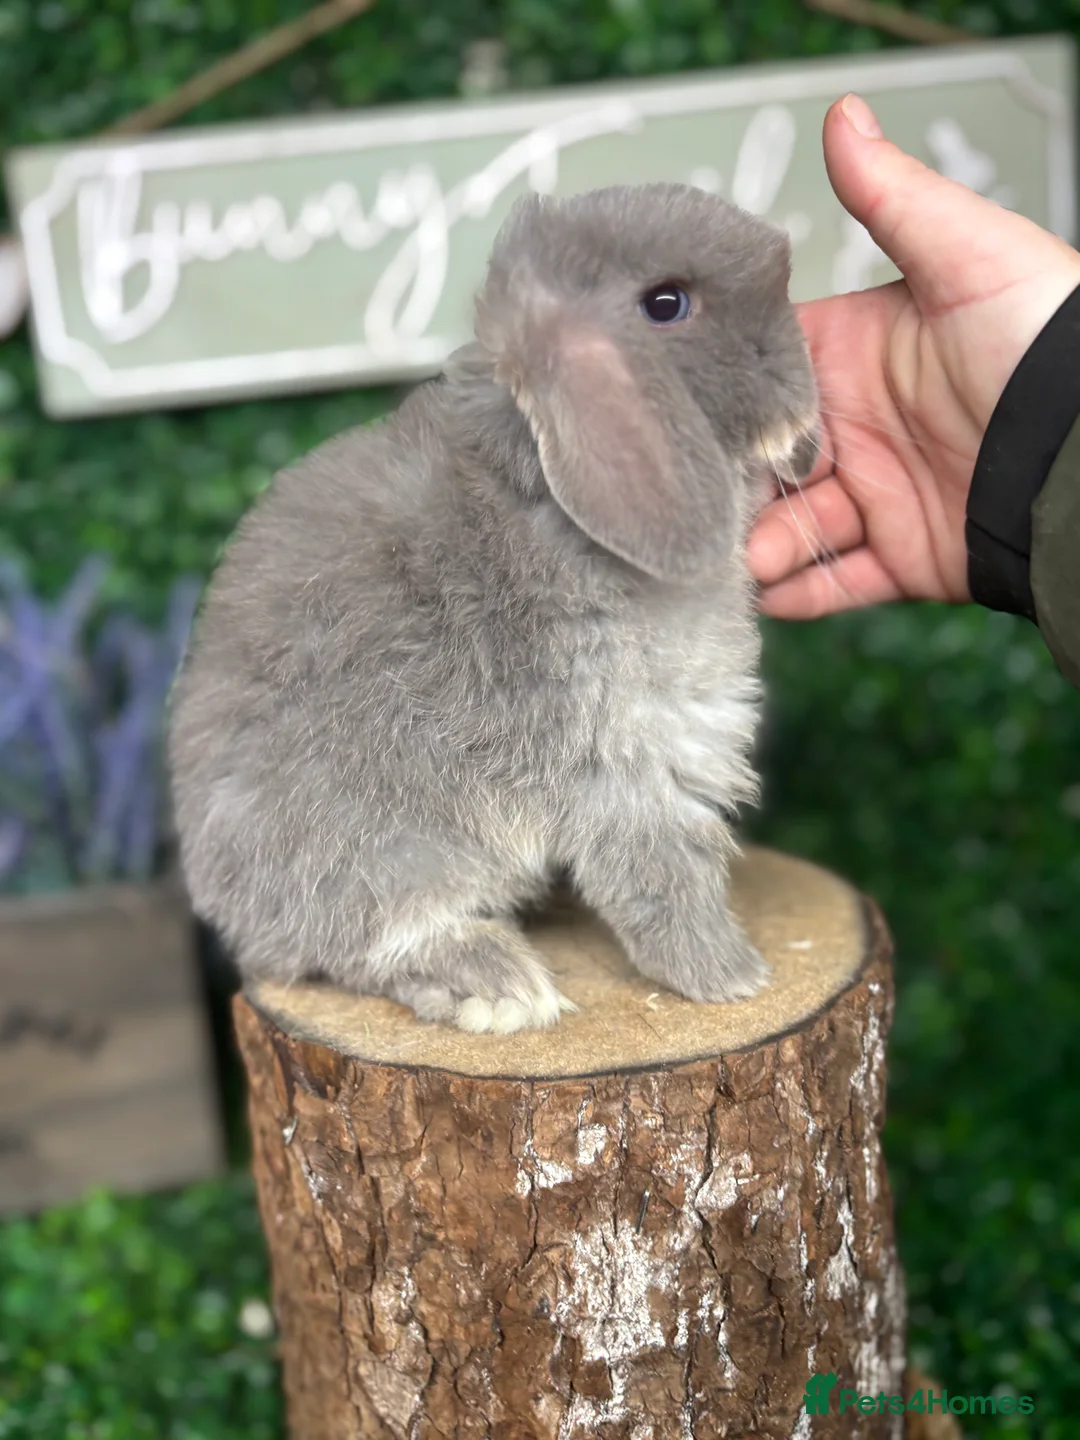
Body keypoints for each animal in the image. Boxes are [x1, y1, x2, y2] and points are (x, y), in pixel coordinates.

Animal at [167, 182, 819, 1035]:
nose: (805, 407)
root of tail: (224, 906)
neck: (545, 494)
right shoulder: (618, 753)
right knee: (367, 944)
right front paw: (729, 977)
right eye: (667, 304)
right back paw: (497, 984)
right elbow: (663, 873)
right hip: (382, 847)